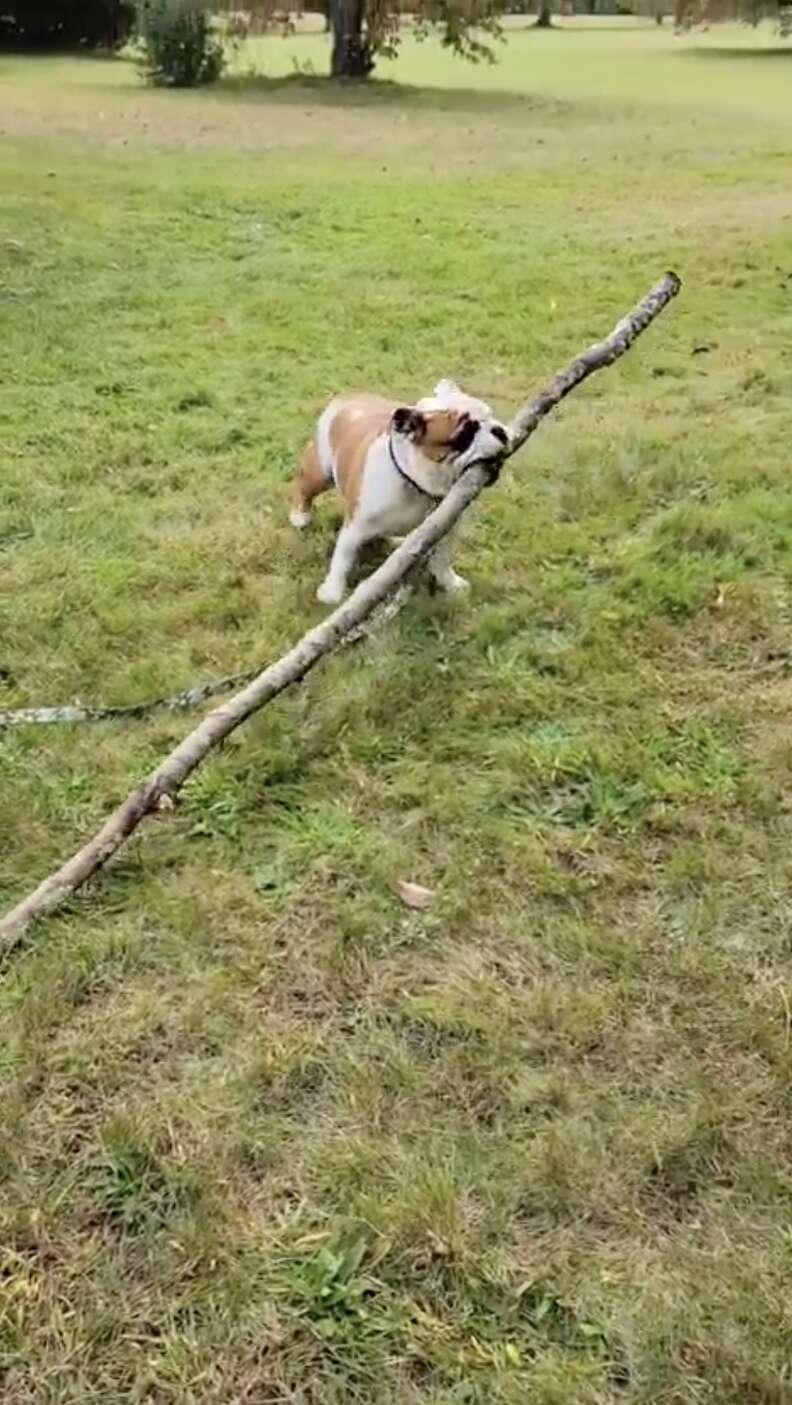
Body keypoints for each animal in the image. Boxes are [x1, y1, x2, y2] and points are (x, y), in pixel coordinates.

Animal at [289, 379, 508, 604]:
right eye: (465, 434)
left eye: (490, 415)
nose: (499, 430)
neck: (419, 484)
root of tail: (347, 398)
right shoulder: (355, 527)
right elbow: (342, 559)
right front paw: (332, 592)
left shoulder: (446, 526)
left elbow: (442, 559)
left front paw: (450, 582)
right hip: (321, 472)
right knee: (301, 485)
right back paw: (299, 515)